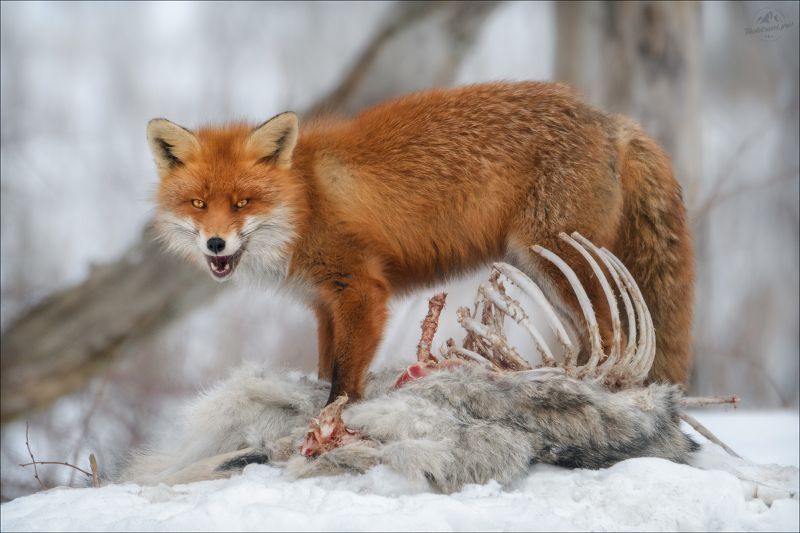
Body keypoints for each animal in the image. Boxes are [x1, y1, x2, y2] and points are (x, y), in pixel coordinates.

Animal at [147, 81, 694, 404]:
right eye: (198, 204)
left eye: (243, 202)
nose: (216, 245)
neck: (305, 201)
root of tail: (604, 116)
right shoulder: (325, 306)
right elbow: (326, 369)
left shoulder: (361, 289)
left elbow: (343, 382)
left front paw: (330, 428)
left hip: (556, 262)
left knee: (613, 333)